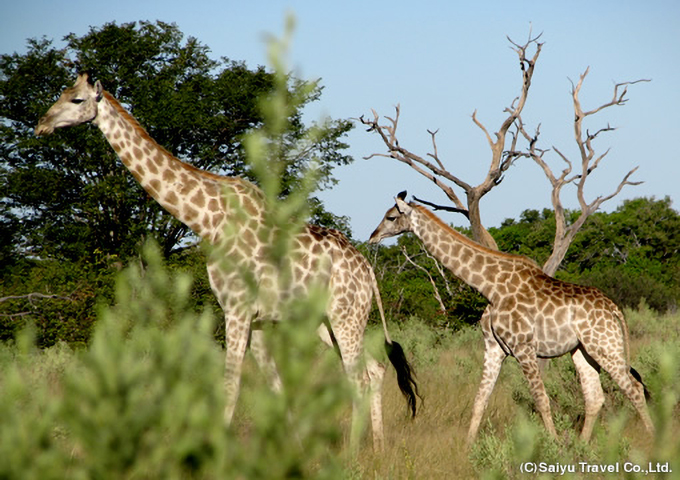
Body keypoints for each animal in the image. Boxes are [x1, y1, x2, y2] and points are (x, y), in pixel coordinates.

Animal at [37, 74, 422, 450]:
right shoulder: (260, 319)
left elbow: (229, 386)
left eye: (76, 99)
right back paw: (378, 446)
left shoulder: (236, 308)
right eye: (61, 92)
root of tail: (369, 271)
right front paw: (293, 450)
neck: (208, 220)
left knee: (358, 378)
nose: (42, 124)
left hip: (346, 317)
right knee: (373, 369)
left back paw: (356, 452)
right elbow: (275, 386)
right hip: (325, 323)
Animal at [370, 190, 656, 442]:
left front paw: (554, 445)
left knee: (634, 388)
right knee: (595, 396)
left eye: (391, 217)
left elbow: (541, 399)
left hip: (604, 345)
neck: (490, 287)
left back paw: (652, 440)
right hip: (583, 350)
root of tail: (614, 309)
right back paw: (583, 445)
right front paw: (468, 447)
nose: (373, 236)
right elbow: (480, 399)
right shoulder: (494, 348)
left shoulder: (523, 346)